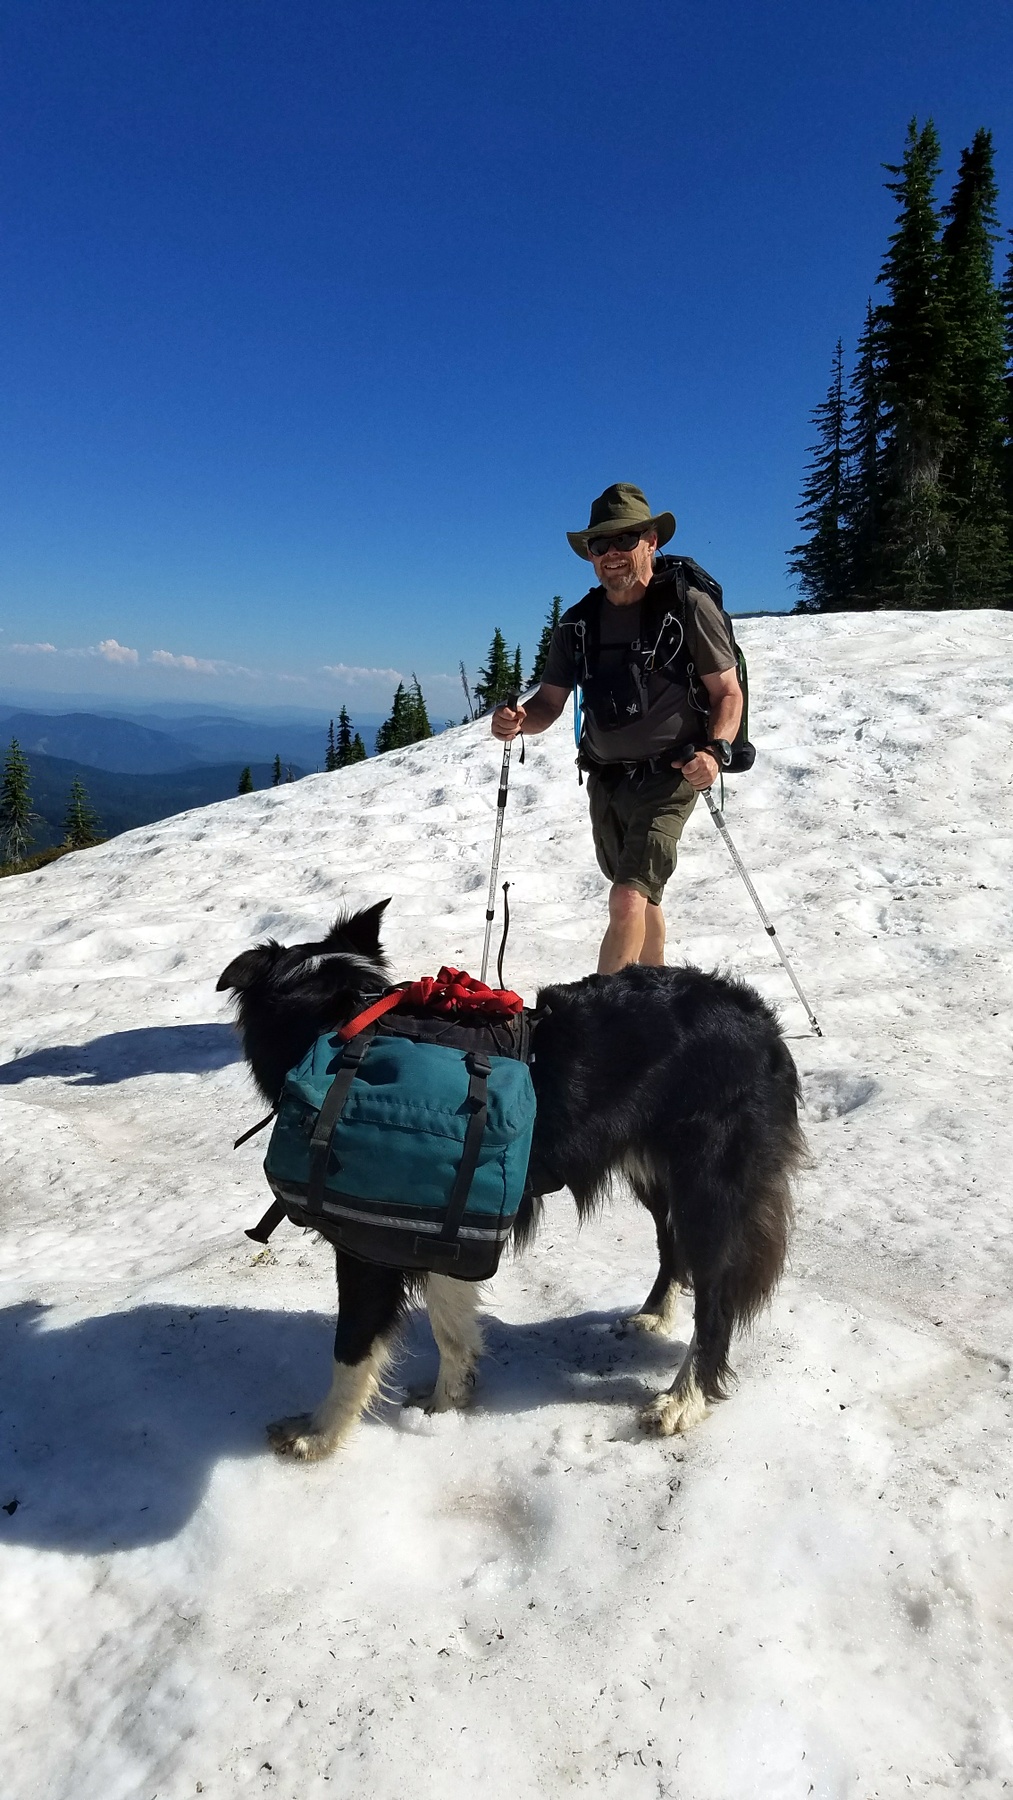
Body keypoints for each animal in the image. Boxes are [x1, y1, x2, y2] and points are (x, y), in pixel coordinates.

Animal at [217, 907, 806, 1454]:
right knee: (671, 1245)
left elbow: (352, 1346)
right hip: (656, 1174)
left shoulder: (370, 1242)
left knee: (717, 1298)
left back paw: (682, 1401)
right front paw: (446, 1403)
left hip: (710, 1184)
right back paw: (654, 1317)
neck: (342, 1024)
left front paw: (316, 1435)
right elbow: (450, 1326)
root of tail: (762, 1020)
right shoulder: (444, 1223)